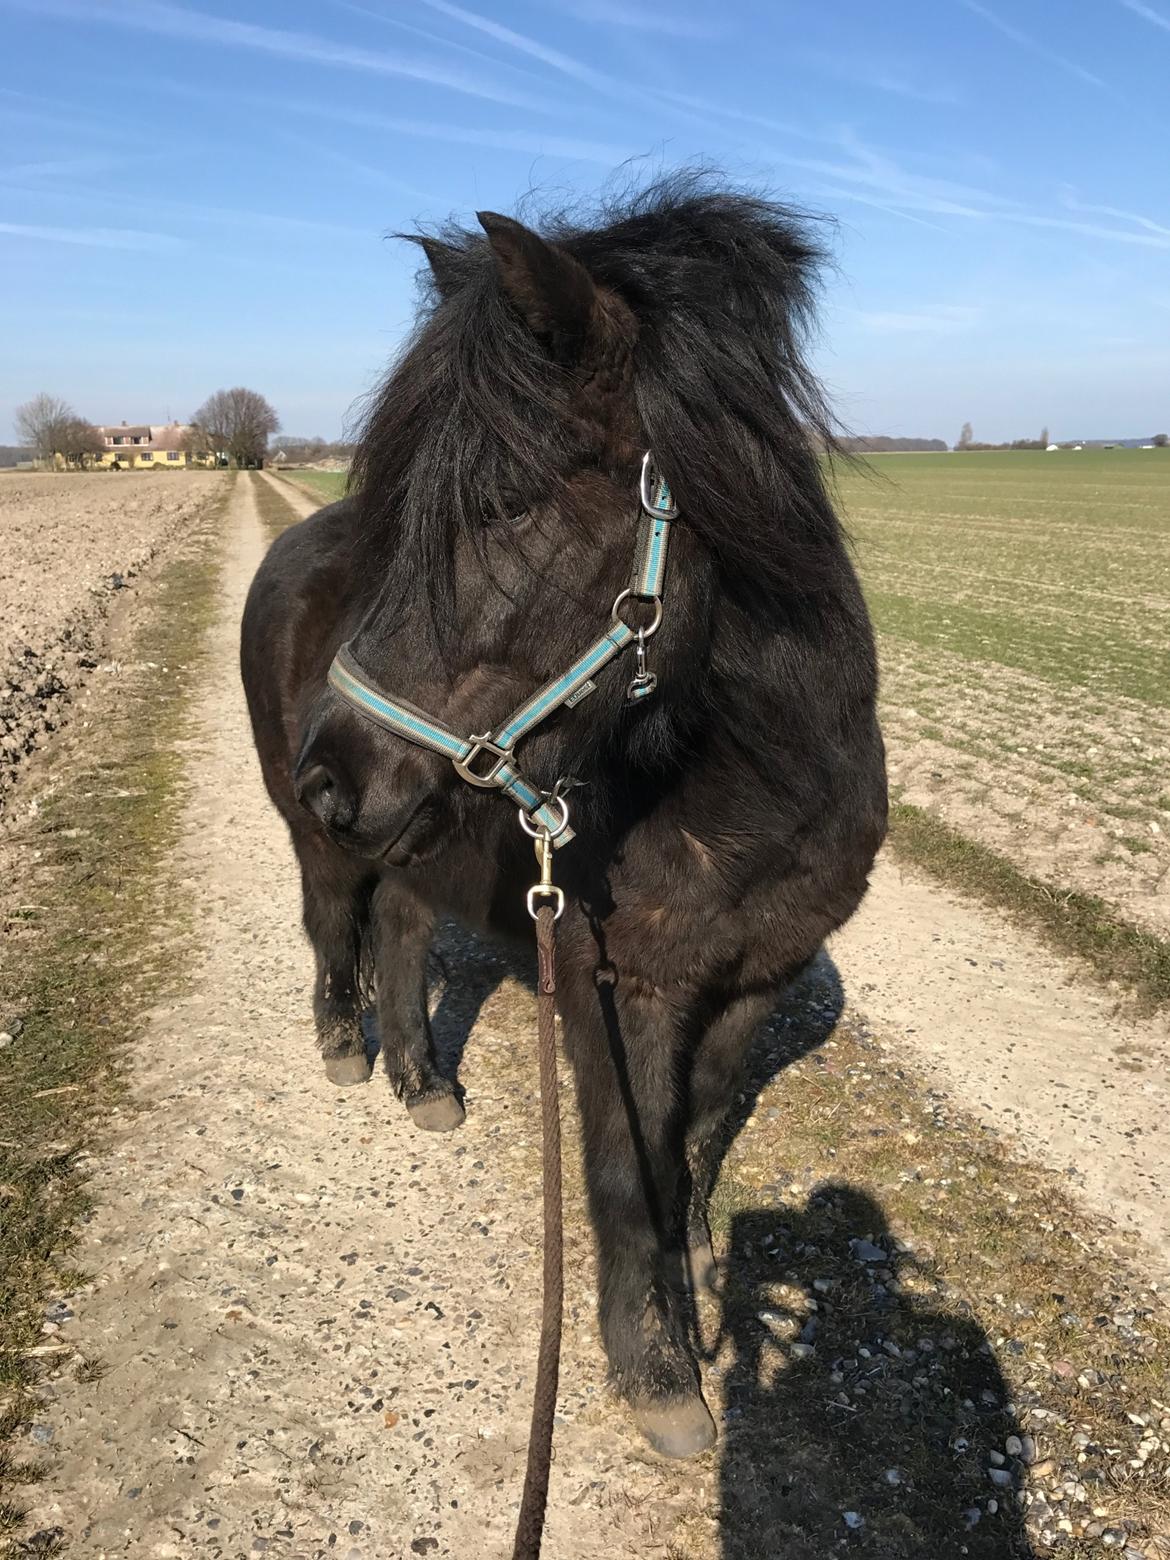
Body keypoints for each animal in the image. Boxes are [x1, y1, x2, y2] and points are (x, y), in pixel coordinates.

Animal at [244, 177, 886, 1453]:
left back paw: (424, 1085)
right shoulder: (608, 988)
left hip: (416, 844)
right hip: (327, 851)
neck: (748, 790)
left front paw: (699, 1277)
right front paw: (657, 1367)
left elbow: (694, 1139)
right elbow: (626, 1173)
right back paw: (347, 1047)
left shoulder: (759, 978)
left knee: (399, 928)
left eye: (500, 506)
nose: (331, 774)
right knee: (335, 924)